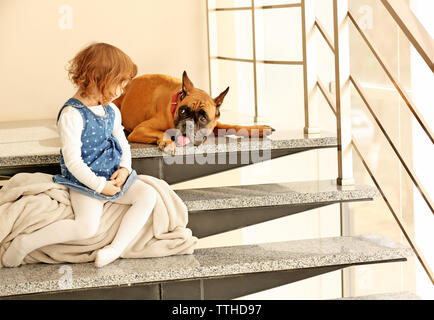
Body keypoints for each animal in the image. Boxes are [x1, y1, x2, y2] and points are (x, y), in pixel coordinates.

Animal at [112, 70, 274, 155]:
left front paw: (258, 129)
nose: (187, 125)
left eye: (203, 118)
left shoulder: (216, 124)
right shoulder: (140, 129)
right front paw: (167, 142)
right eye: (183, 111)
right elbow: (161, 132)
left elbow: (233, 126)